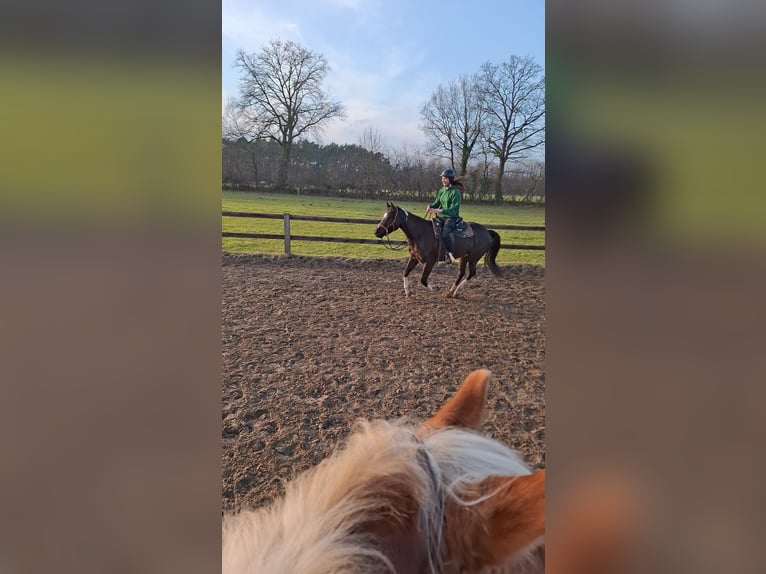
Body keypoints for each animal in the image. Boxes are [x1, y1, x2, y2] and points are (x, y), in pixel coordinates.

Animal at [374, 202, 502, 298]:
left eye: (389, 217)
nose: (376, 231)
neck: (420, 234)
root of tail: (487, 232)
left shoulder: (430, 261)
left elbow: (423, 279)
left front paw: (434, 289)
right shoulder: (414, 258)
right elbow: (405, 272)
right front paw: (408, 292)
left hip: (473, 257)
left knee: (471, 273)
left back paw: (457, 291)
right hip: (464, 256)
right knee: (461, 273)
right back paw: (451, 292)